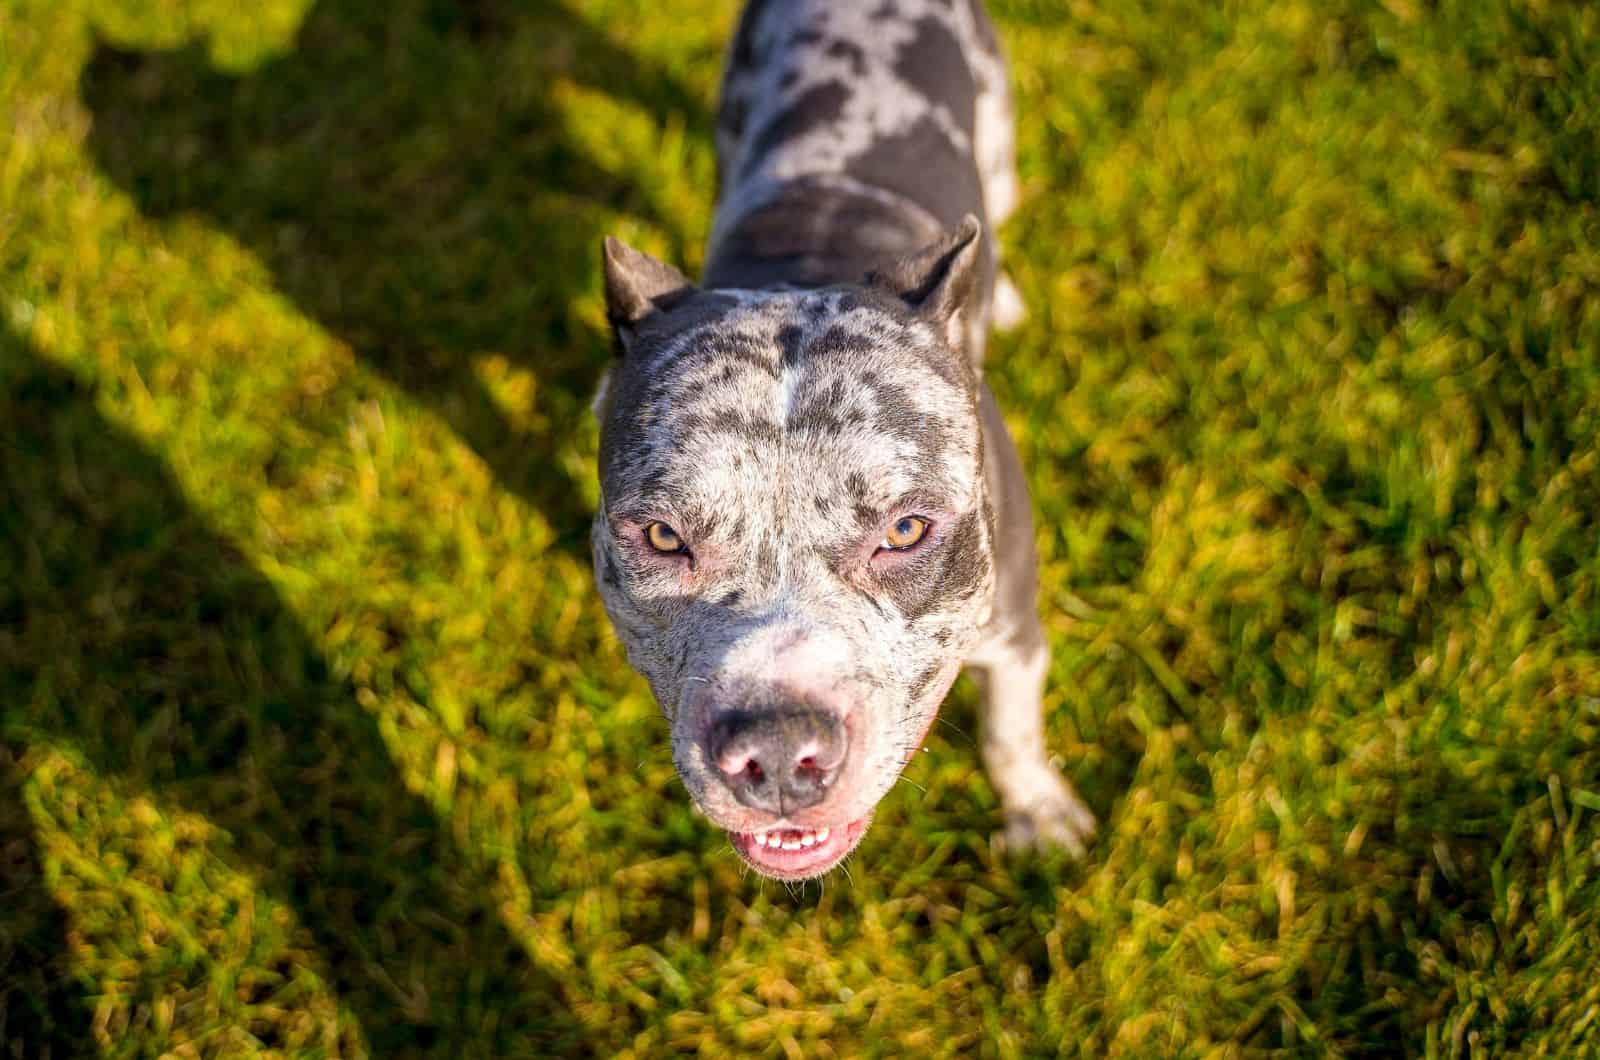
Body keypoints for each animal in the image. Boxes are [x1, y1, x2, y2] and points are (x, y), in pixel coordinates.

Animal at [595, 0, 1094, 877]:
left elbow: (1010, 730)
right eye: (661, 536)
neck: (806, 259)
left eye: (907, 531)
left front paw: (1036, 809)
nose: (776, 750)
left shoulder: (1013, 630)